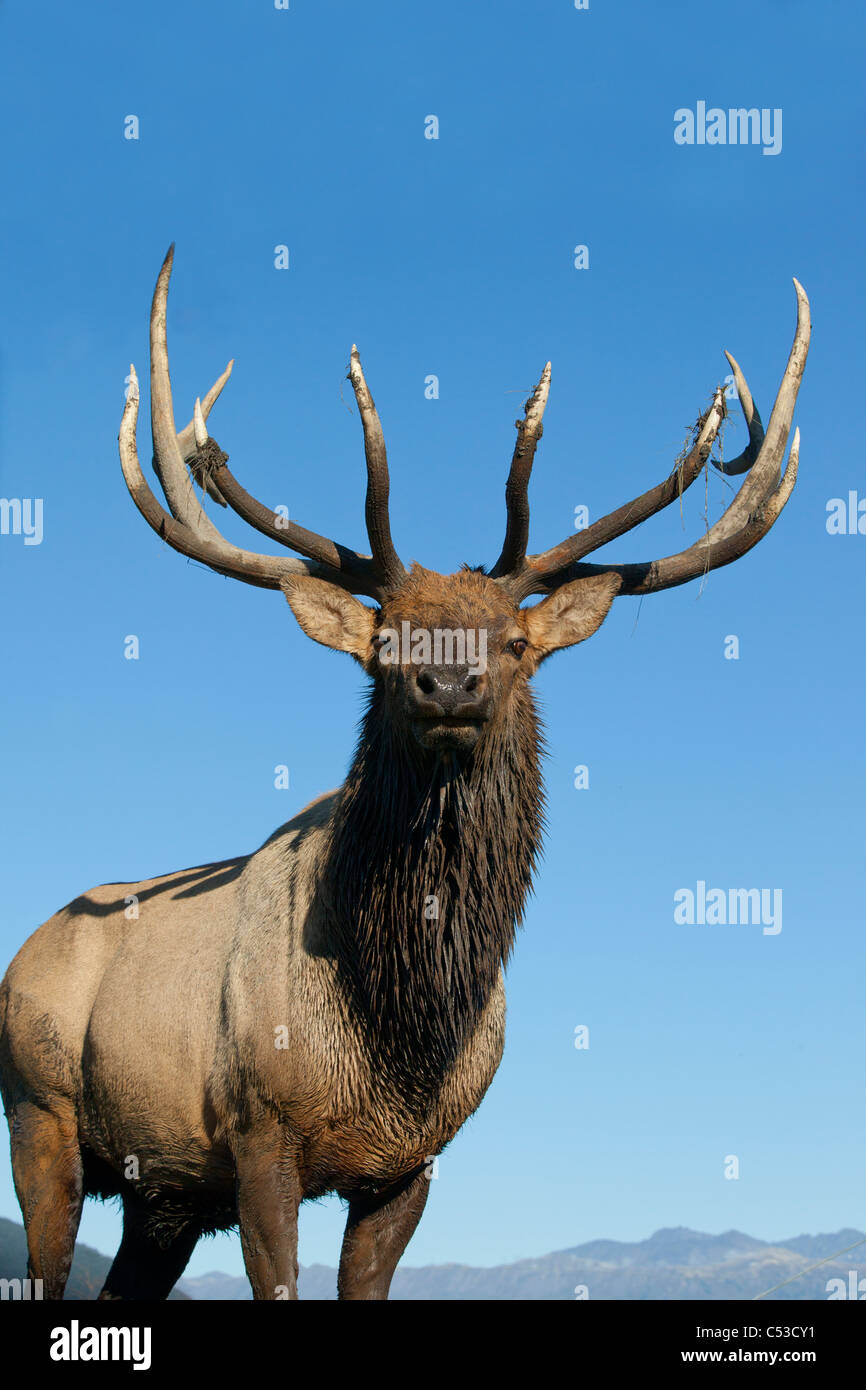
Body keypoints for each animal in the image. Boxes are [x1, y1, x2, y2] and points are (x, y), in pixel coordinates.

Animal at [0, 252, 811, 1301]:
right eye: (388, 641)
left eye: (515, 643)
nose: (449, 683)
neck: (402, 1031)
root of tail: (26, 950)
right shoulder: (260, 1135)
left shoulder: (411, 1164)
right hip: (40, 1113)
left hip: (163, 1194)